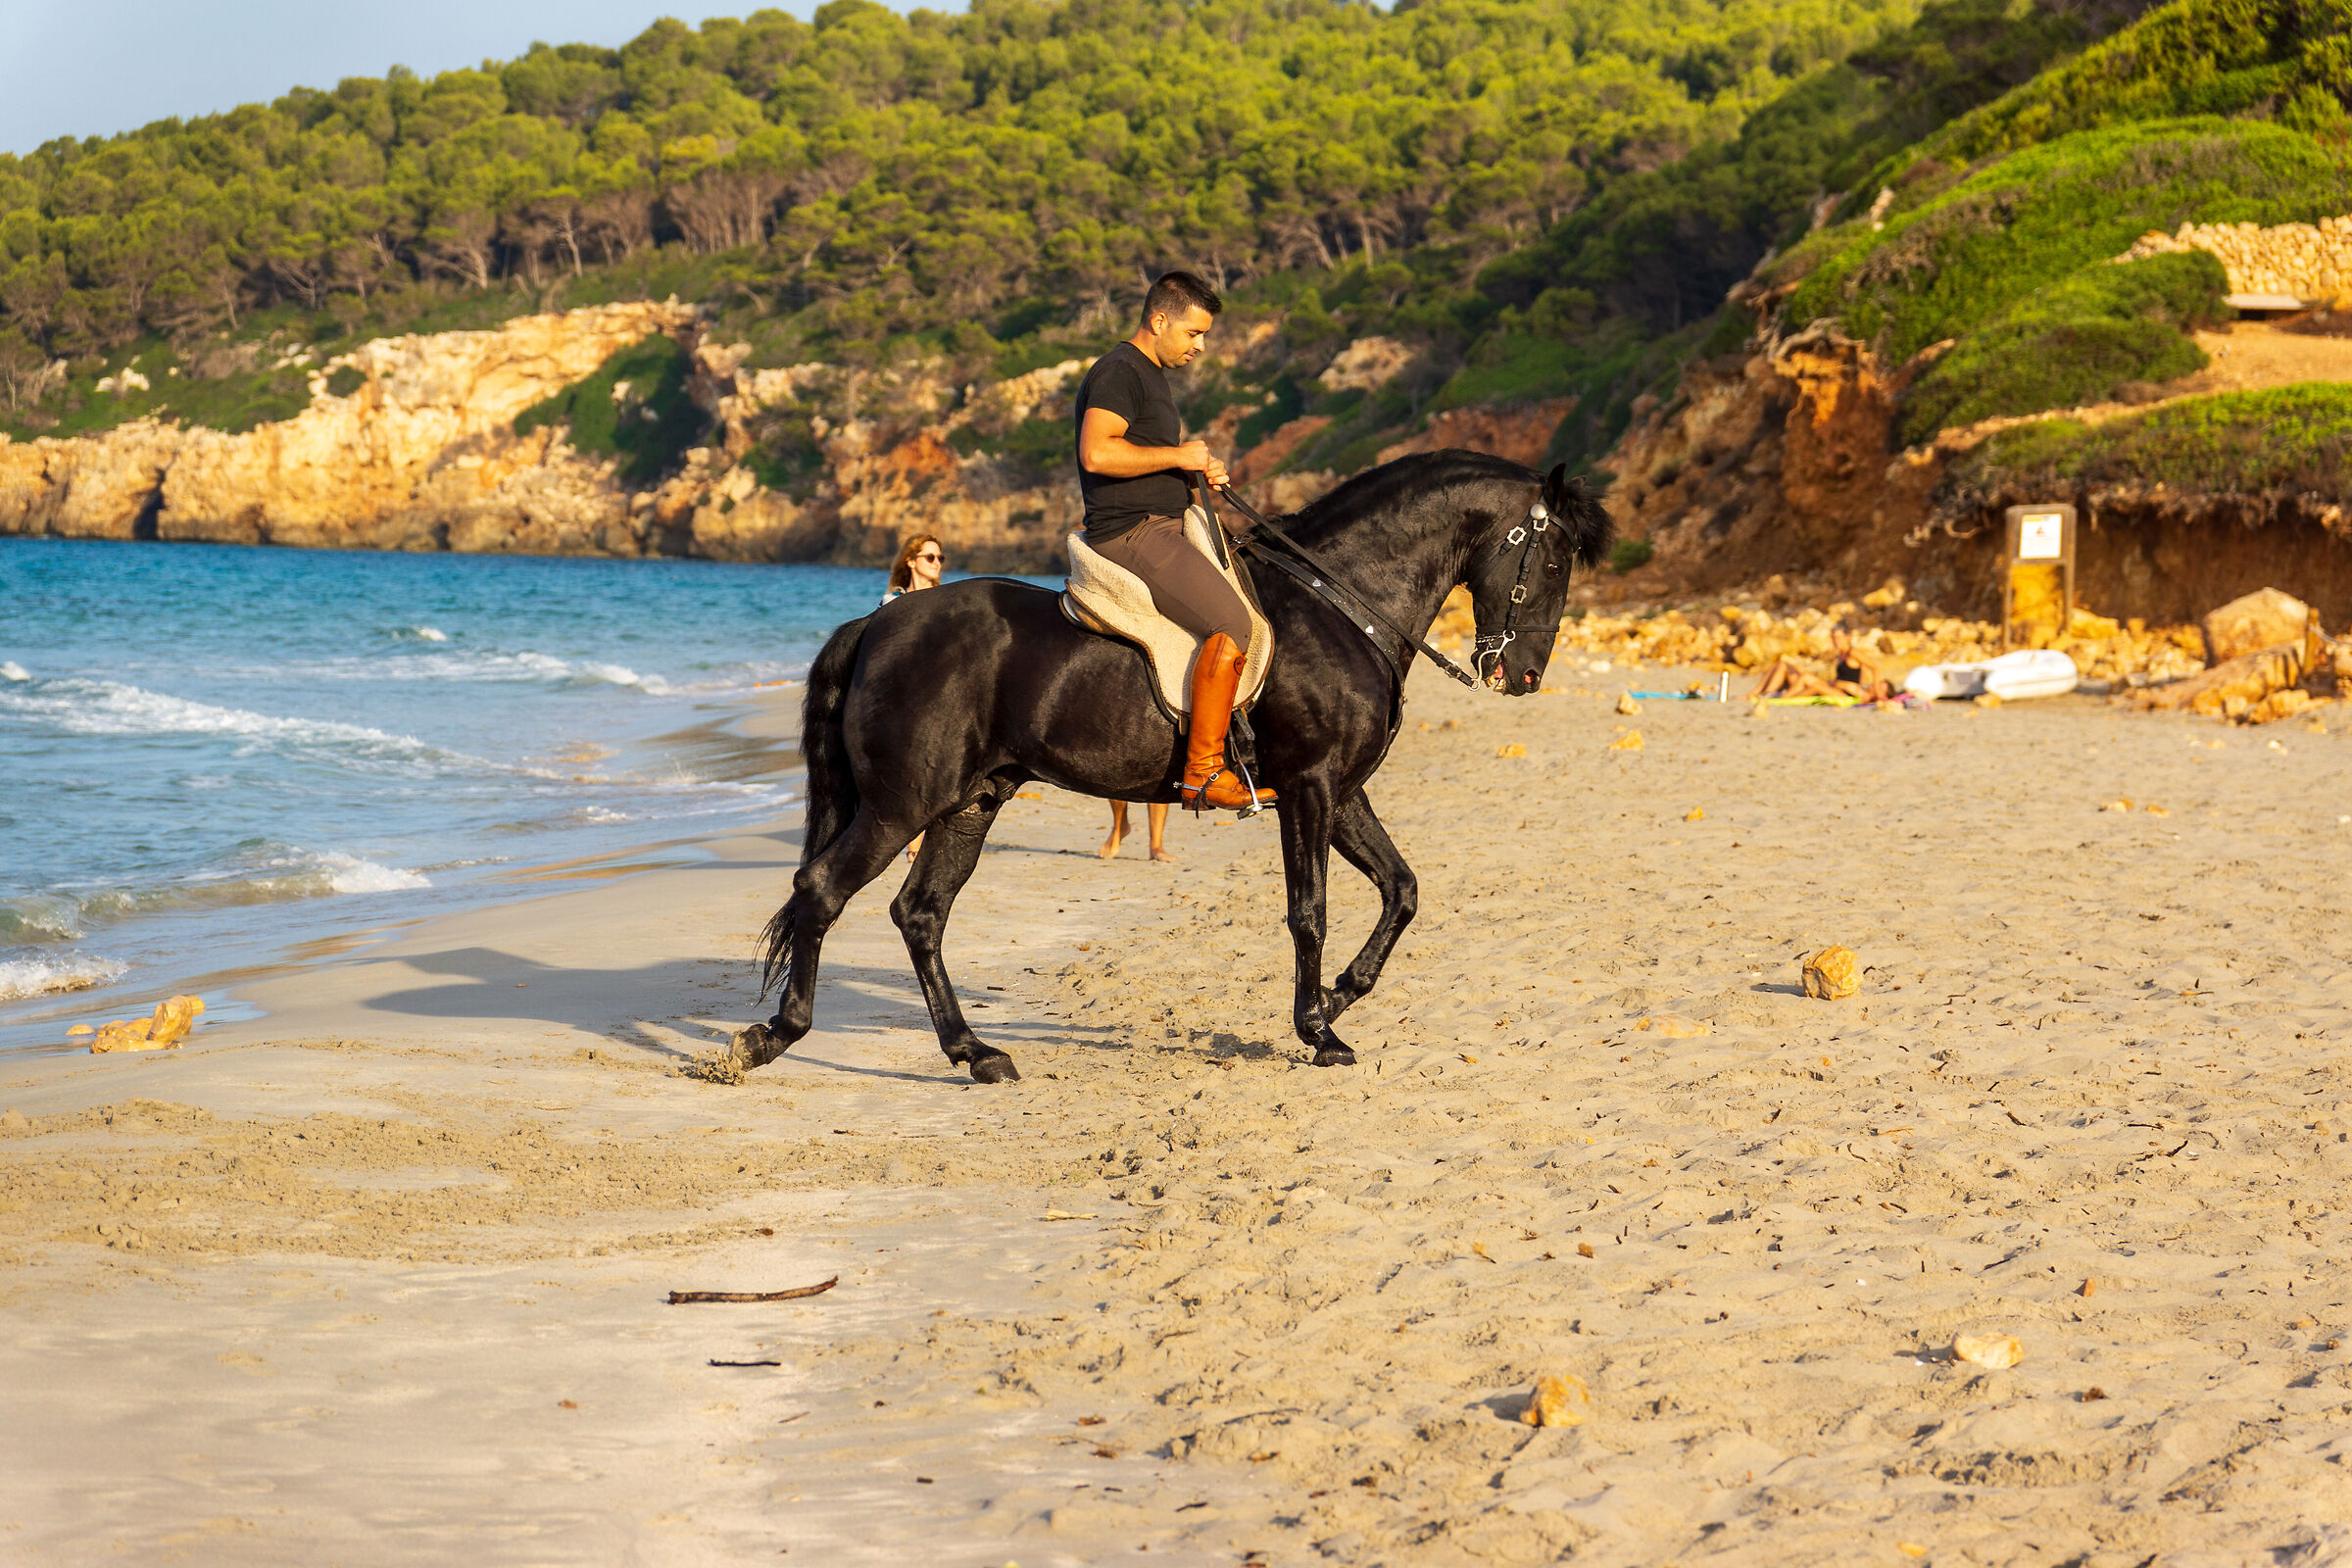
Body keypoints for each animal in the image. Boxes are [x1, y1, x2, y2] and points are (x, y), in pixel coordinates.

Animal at [728, 449, 1612, 1083]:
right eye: (1554, 560)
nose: (1522, 676)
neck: (1339, 604)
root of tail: (876, 626)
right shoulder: (1312, 788)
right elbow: (1310, 911)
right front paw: (1318, 1030)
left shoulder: (1343, 791)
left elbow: (1402, 891)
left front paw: (1337, 996)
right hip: (900, 805)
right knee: (823, 890)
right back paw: (772, 1036)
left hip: (970, 802)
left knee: (920, 915)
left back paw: (976, 1053)